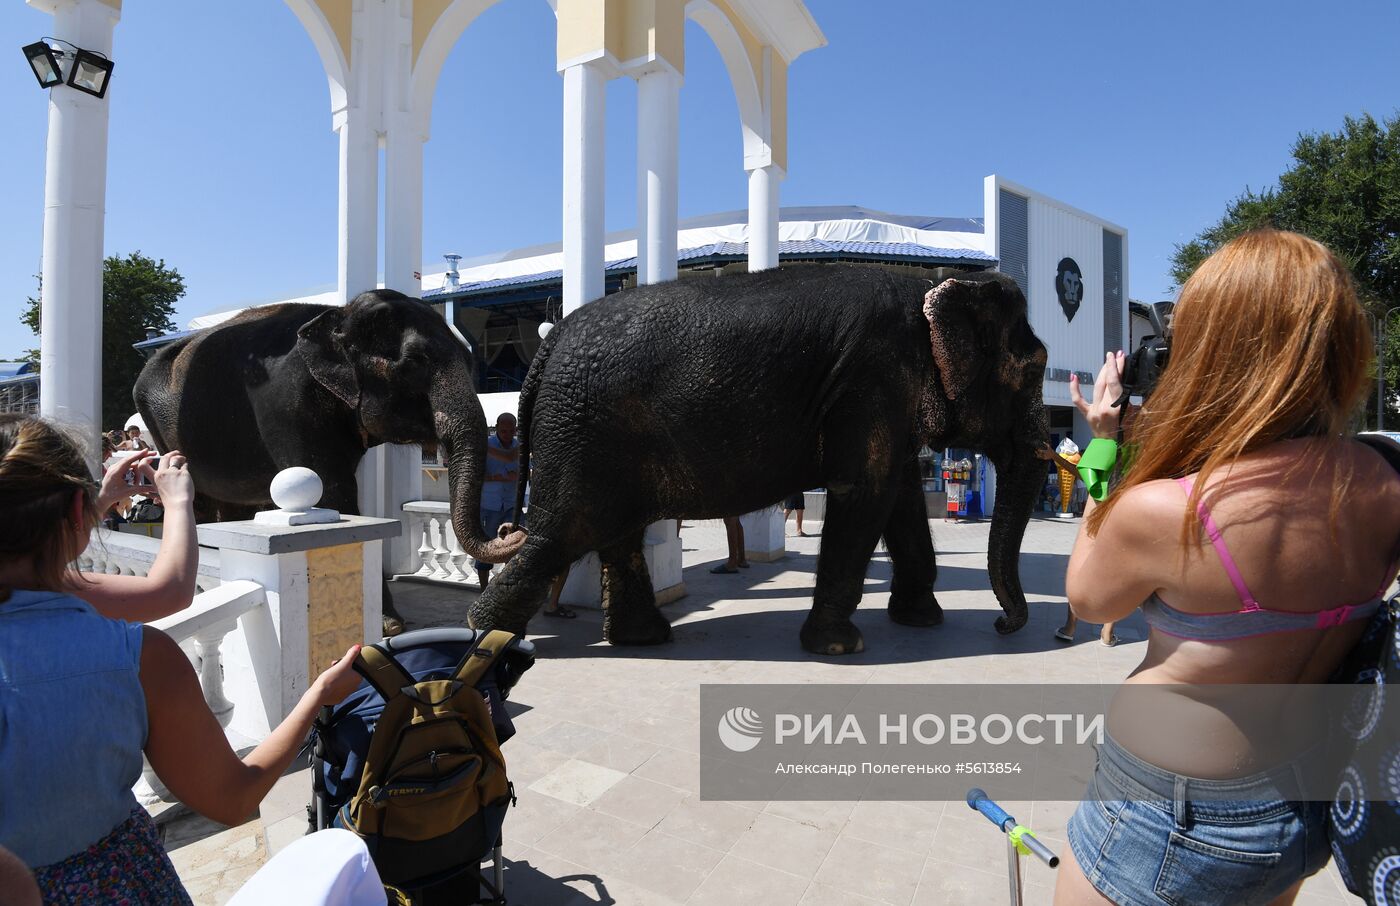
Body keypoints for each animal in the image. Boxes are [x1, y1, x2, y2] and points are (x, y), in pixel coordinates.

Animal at [133, 291, 526, 630]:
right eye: (416, 362)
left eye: (471, 360)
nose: (511, 529)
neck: (339, 315)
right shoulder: (287, 403)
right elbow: (335, 489)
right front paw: (389, 624)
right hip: (160, 427)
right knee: (197, 501)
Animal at [470, 261, 1052, 652]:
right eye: (1034, 369)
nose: (1002, 626)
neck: (932, 290)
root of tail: (551, 340)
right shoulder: (873, 379)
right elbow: (864, 492)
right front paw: (841, 648)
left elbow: (902, 497)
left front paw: (922, 622)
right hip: (579, 432)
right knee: (565, 530)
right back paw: (488, 638)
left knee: (611, 532)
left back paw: (642, 639)